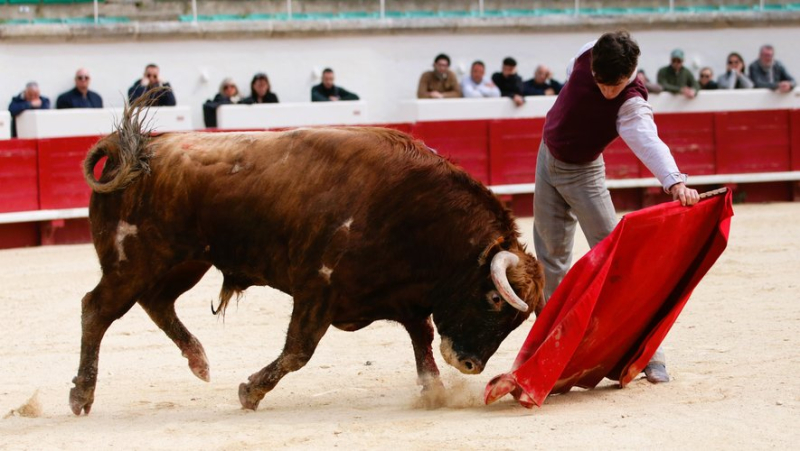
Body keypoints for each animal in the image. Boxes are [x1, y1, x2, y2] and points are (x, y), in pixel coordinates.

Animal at [70, 100, 544, 414]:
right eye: (495, 299)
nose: (470, 364)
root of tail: (136, 152)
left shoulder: (402, 296)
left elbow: (421, 339)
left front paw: (433, 392)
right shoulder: (318, 288)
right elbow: (299, 351)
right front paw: (250, 392)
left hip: (183, 262)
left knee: (156, 302)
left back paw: (199, 361)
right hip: (133, 261)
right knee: (97, 309)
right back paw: (81, 396)